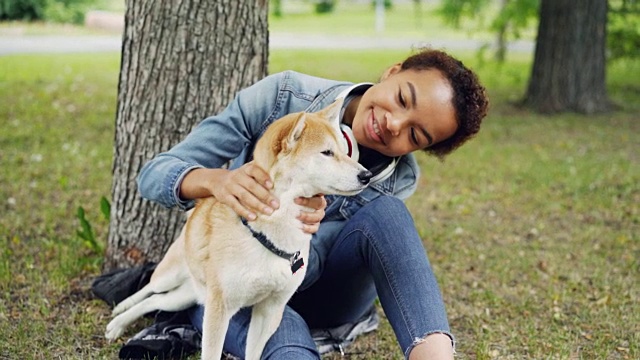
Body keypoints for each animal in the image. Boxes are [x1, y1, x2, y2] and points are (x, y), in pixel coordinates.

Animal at [105, 100, 372, 360]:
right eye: (327, 152)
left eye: (344, 151)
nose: (366, 174)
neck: (270, 233)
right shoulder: (220, 309)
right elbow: (211, 353)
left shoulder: (269, 311)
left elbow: (254, 352)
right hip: (175, 277)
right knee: (150, 289)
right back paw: (119, 314)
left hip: (188, 295)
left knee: (156, 300)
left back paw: (120, 322)